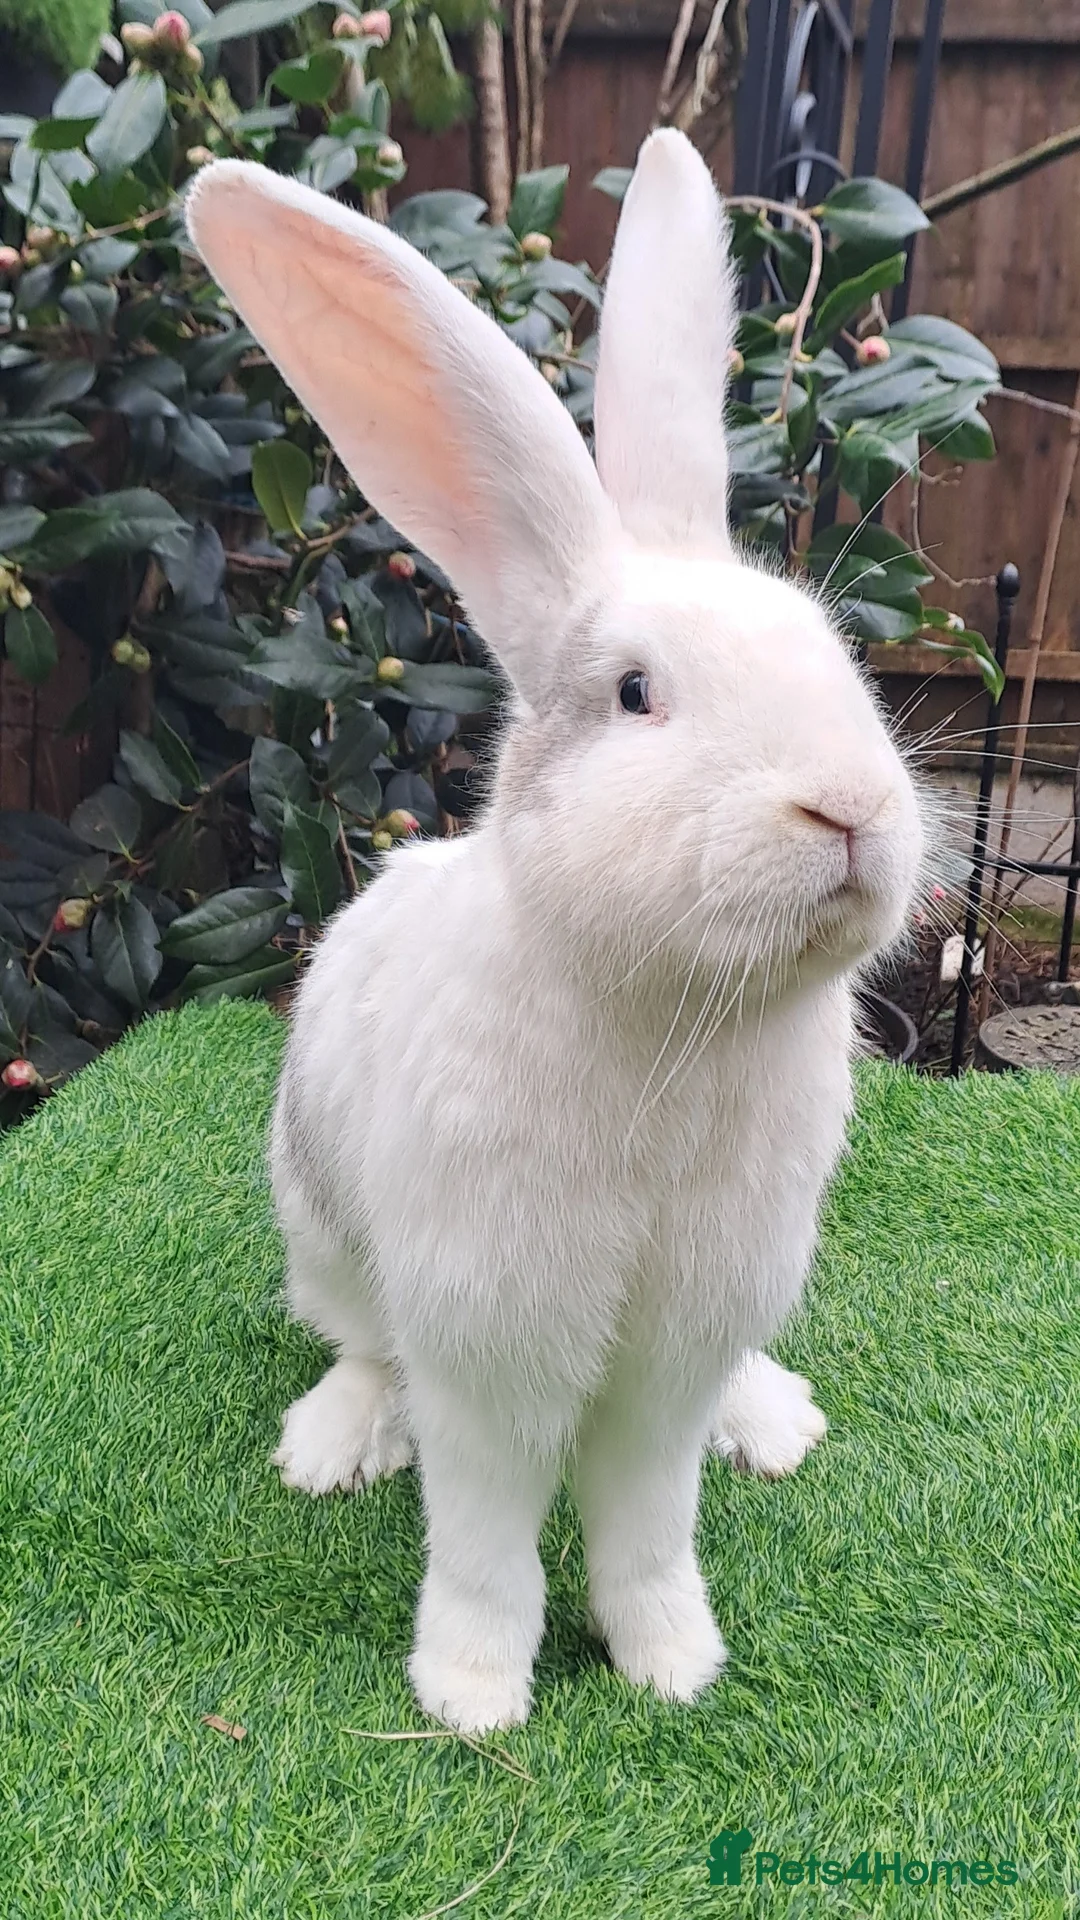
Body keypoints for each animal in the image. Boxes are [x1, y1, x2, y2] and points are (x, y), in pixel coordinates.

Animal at [187, 128, 925, 1736]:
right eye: (637, 693)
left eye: (834, 652)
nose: (848, 810)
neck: (682, 1021)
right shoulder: (493, 1343)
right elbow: (485, 1530)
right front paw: (472, 1693)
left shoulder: (674, 1352)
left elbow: (648, 1519)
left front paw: (672, 1665)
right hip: (322, 1229)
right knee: (362, 1344)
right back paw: (333, 1443)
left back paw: (772, 1422)